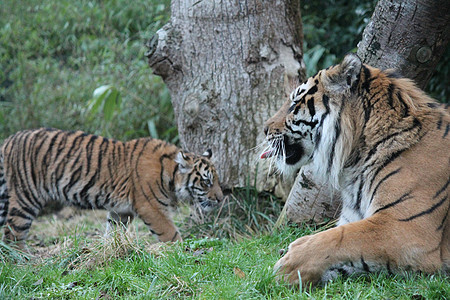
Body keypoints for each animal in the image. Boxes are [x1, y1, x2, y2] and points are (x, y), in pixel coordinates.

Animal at [0, 127, 223, 245]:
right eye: (206, 181)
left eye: (216, 180)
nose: (221, 198)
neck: (169, 173)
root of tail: (8, 139)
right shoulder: (151, 208)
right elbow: (170, 233)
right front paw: (180, 252)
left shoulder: (120, 211)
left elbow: (113, 232)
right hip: (25, 198)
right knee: (13, 234)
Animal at [262, 53, 448, 286]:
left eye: (295, 103)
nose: (264, 128)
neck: (356, 160)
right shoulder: (354, 218)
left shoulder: (408, 227)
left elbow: (338, 237)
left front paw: (287, 265)